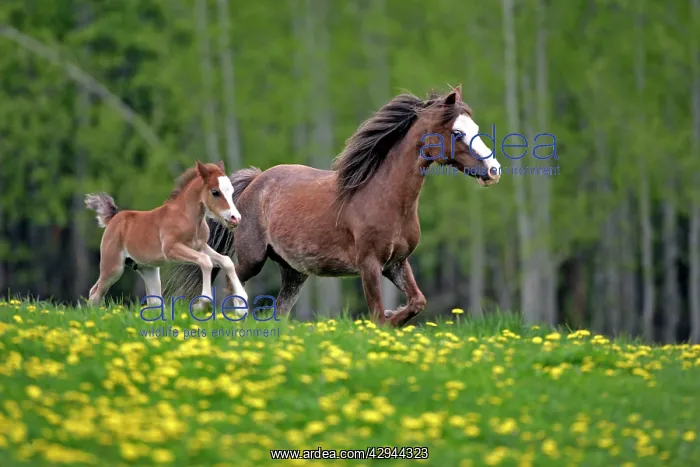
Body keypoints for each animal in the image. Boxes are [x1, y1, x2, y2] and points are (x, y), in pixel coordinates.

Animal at [84, 160, 248, 312]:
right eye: (215, 192)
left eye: (231, 191)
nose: (235, 218)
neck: (187, 217)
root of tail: (113, 218)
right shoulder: (171, 250)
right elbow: (205, 261)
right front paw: (202, 303)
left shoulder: (201, 247)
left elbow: (226, 261)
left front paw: (241, 301)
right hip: (113, 267)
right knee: (95, 293)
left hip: (148, 270)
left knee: (154, 302)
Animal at [162, 86, 501, 327]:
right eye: (457, 132)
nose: (494, 170)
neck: (386, 200)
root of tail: (257, 180)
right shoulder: (369, 265)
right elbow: (378, 316)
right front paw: (387, 319)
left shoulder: (396, 263)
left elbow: (417, 302)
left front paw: (396, 313)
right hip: (251, 259)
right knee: (230, 287)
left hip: (294, 272)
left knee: (280, 310)